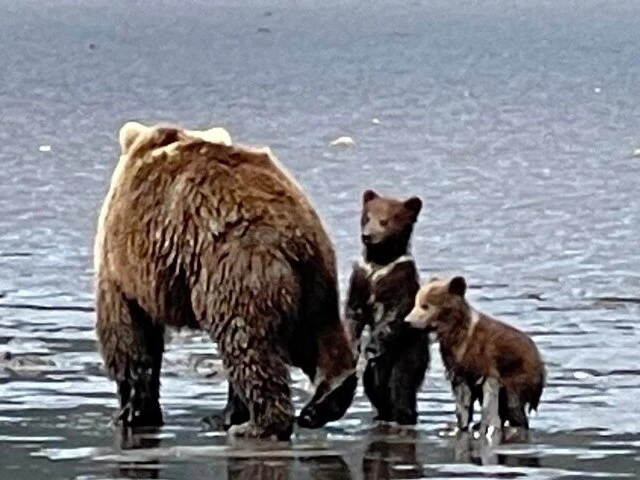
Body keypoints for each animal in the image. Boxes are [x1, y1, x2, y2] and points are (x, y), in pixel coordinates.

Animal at [94, 121, 358, 441]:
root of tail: (290, 231)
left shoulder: (120, 264)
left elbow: (128, 336)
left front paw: (130, 414)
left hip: (235, 267)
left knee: (248, 345)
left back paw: (257, 426)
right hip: (315, 275)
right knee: (316, 332)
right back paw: (322, 402)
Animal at [344, 189, 430, 425]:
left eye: (385, 220)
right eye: (366, 217)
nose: (367, 236)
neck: (379, 263)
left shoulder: (400, 281)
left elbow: (393, 316)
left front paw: (371, 346)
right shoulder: (361, 278)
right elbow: (353, 312)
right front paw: (351, 344)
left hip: (411, 350)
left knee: (401, 383)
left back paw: (404, 415)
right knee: (373, 382)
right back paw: (382, 414)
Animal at [405, 275, 545, 438]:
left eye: (425, 305)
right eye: (416, 303)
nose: (407, 321)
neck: (454, 332)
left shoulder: (484, 359)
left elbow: (489, 394)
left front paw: (486, 427)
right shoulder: (457, 364)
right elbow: (463, 398)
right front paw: (460, 426)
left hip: (519, 375)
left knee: (513, 404)